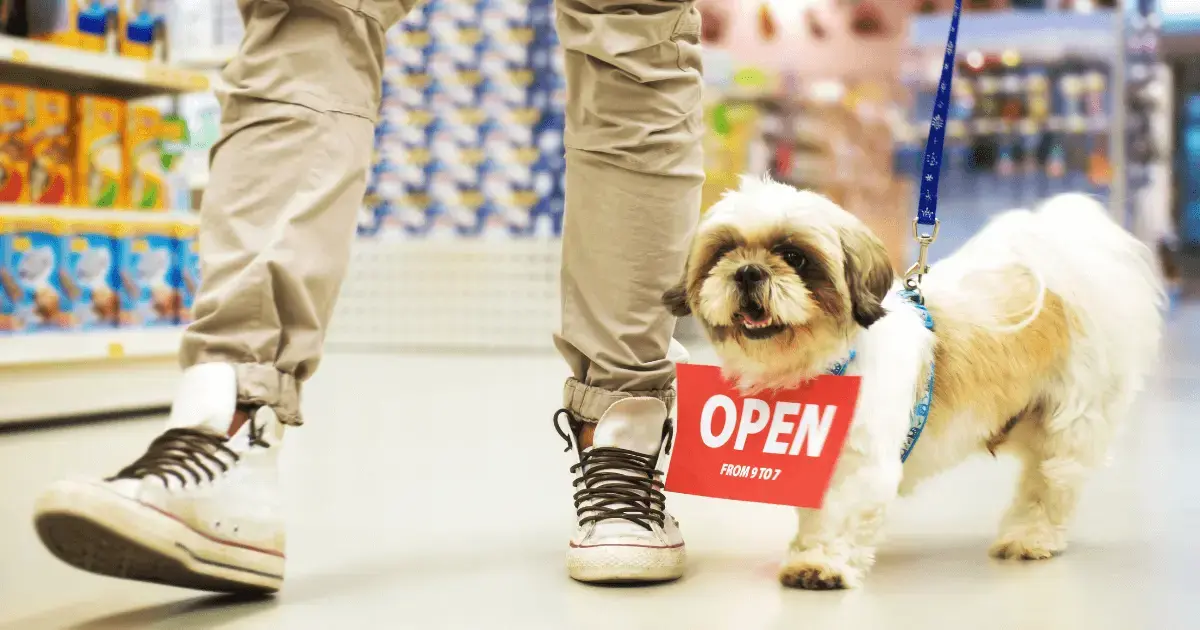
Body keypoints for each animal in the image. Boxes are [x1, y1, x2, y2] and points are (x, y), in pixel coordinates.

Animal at [667, 175, 1161, 590]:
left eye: (794, 257)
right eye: (723, 253)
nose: (748, 271)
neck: (820, 364)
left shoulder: (862, 463)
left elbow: (842, 516)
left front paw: (822, 564)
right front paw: (806, 551)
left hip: (1069, 424)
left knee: (1050, 485)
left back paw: (1030, 537)